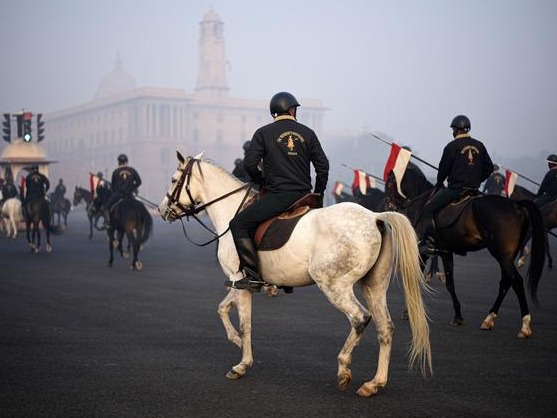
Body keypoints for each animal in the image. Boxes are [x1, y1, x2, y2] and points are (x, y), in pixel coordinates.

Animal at [156, 152, 430, 396]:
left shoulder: (239, 280)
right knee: (386, 328)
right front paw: (236, 341)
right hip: (374, 287)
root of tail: (374, 217)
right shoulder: (240, 283)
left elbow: (245, 324)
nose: (162, 210)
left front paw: (242, 363)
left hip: (334, 286)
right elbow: (223, 308)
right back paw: (374, 384)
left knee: (359, 318)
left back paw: (344, 369)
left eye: (173, 179)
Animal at [384, 168, 544, 338]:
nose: (388, 205)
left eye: (389, 184)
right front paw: (458, 316)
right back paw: (489, 319)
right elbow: (449, 283)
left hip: (502, 255)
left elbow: (426, 281)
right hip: (506, 257)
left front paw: (409, 312)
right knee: (506, 282)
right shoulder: (446, 252)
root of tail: (516, 206)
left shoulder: (425, 252)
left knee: (516, 281)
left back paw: (525, 325)